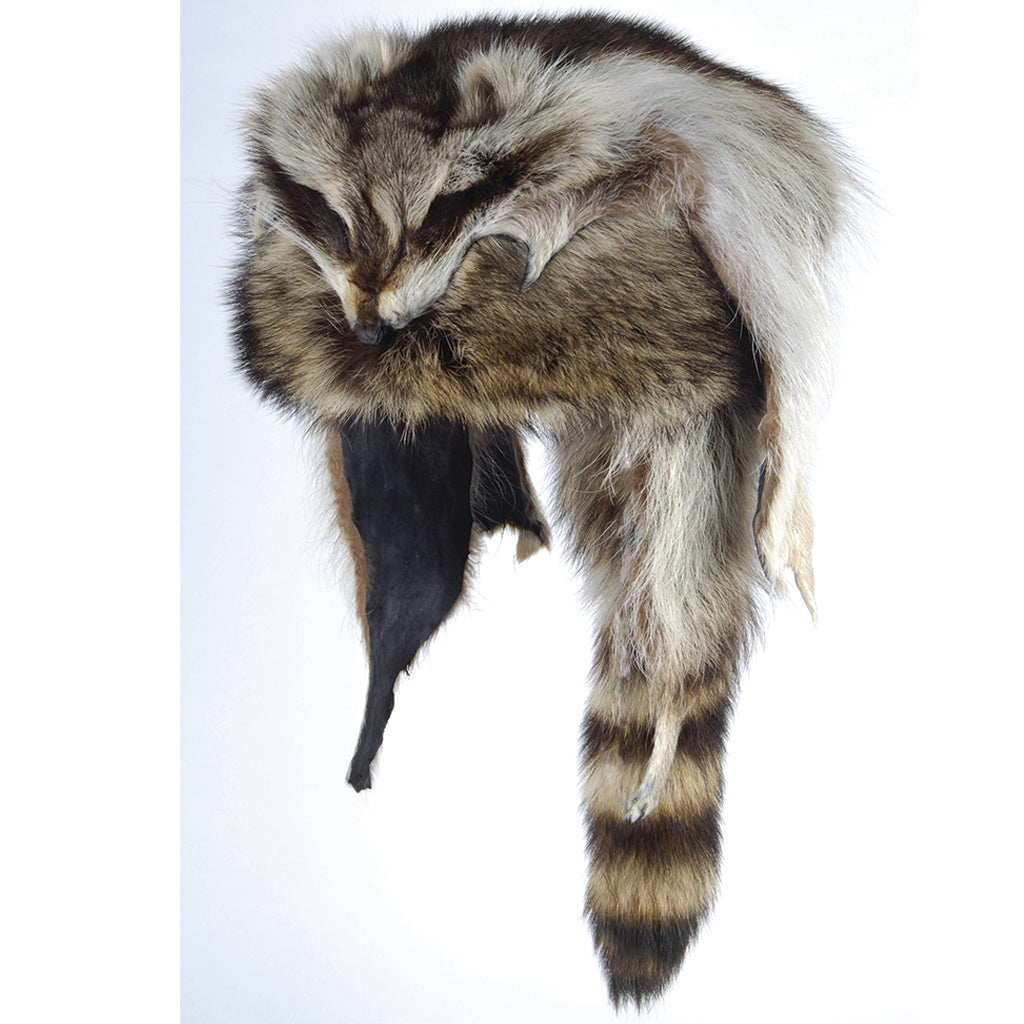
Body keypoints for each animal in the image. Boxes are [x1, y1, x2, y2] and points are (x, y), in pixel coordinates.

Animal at [230, 12, 862, 1008]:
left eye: (431, 216)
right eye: (336, 216)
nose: (369, 330)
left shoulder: (663, 115)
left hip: (696, 399)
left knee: (686, 540)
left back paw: (673, 695)